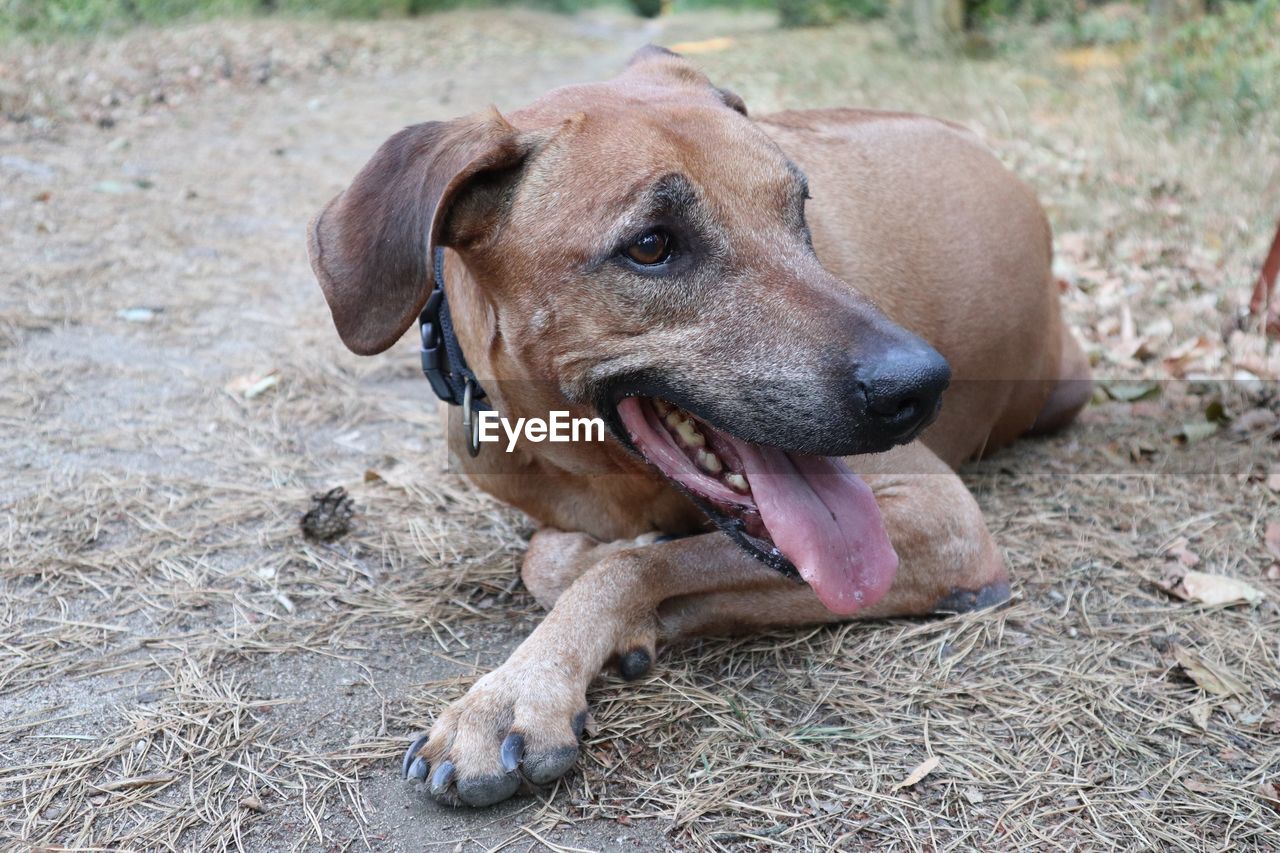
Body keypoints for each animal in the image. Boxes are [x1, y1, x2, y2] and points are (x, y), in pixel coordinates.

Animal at [307, 44, 1090, 804]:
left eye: (800, 210)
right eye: (651, 246)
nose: (920, 386)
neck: (598, 466)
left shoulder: (942, 515)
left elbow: (629, 562)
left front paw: (517, 691)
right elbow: (552, 557)